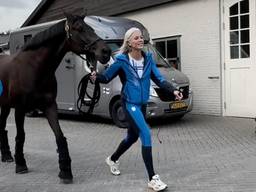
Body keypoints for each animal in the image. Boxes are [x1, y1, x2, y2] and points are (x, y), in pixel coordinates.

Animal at [0, 13, 110, 183]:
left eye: (91, 28)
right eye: (79, 28)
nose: (106, 51)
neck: (34, 69)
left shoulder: (50, 106)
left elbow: (60, 136)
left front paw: (65, 170)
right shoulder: (20, 109)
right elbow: (20, 136)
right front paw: (21, 164)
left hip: (5, 106)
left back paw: (6, 155)